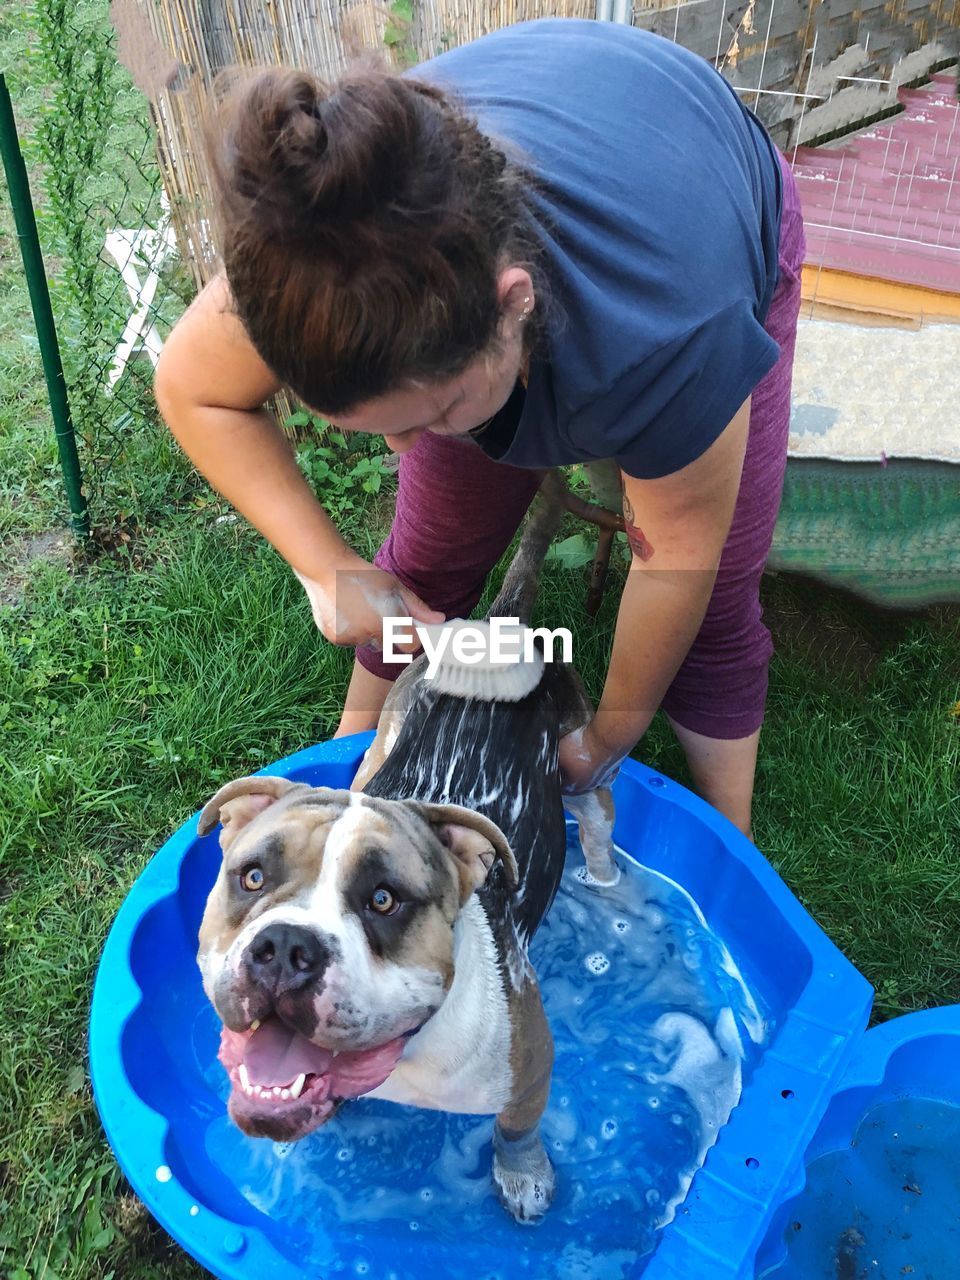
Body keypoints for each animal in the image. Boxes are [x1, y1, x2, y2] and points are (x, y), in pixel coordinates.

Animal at [193, 481, 624, 1218]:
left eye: (384, 900)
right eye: (250, 878)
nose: (282, 947)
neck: (409, 1053)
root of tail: (498, 628)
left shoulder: (531, 1071)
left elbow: (516, 1128)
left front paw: (523, 1174)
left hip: (584, 771)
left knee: (598, 837)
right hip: (380, 745)